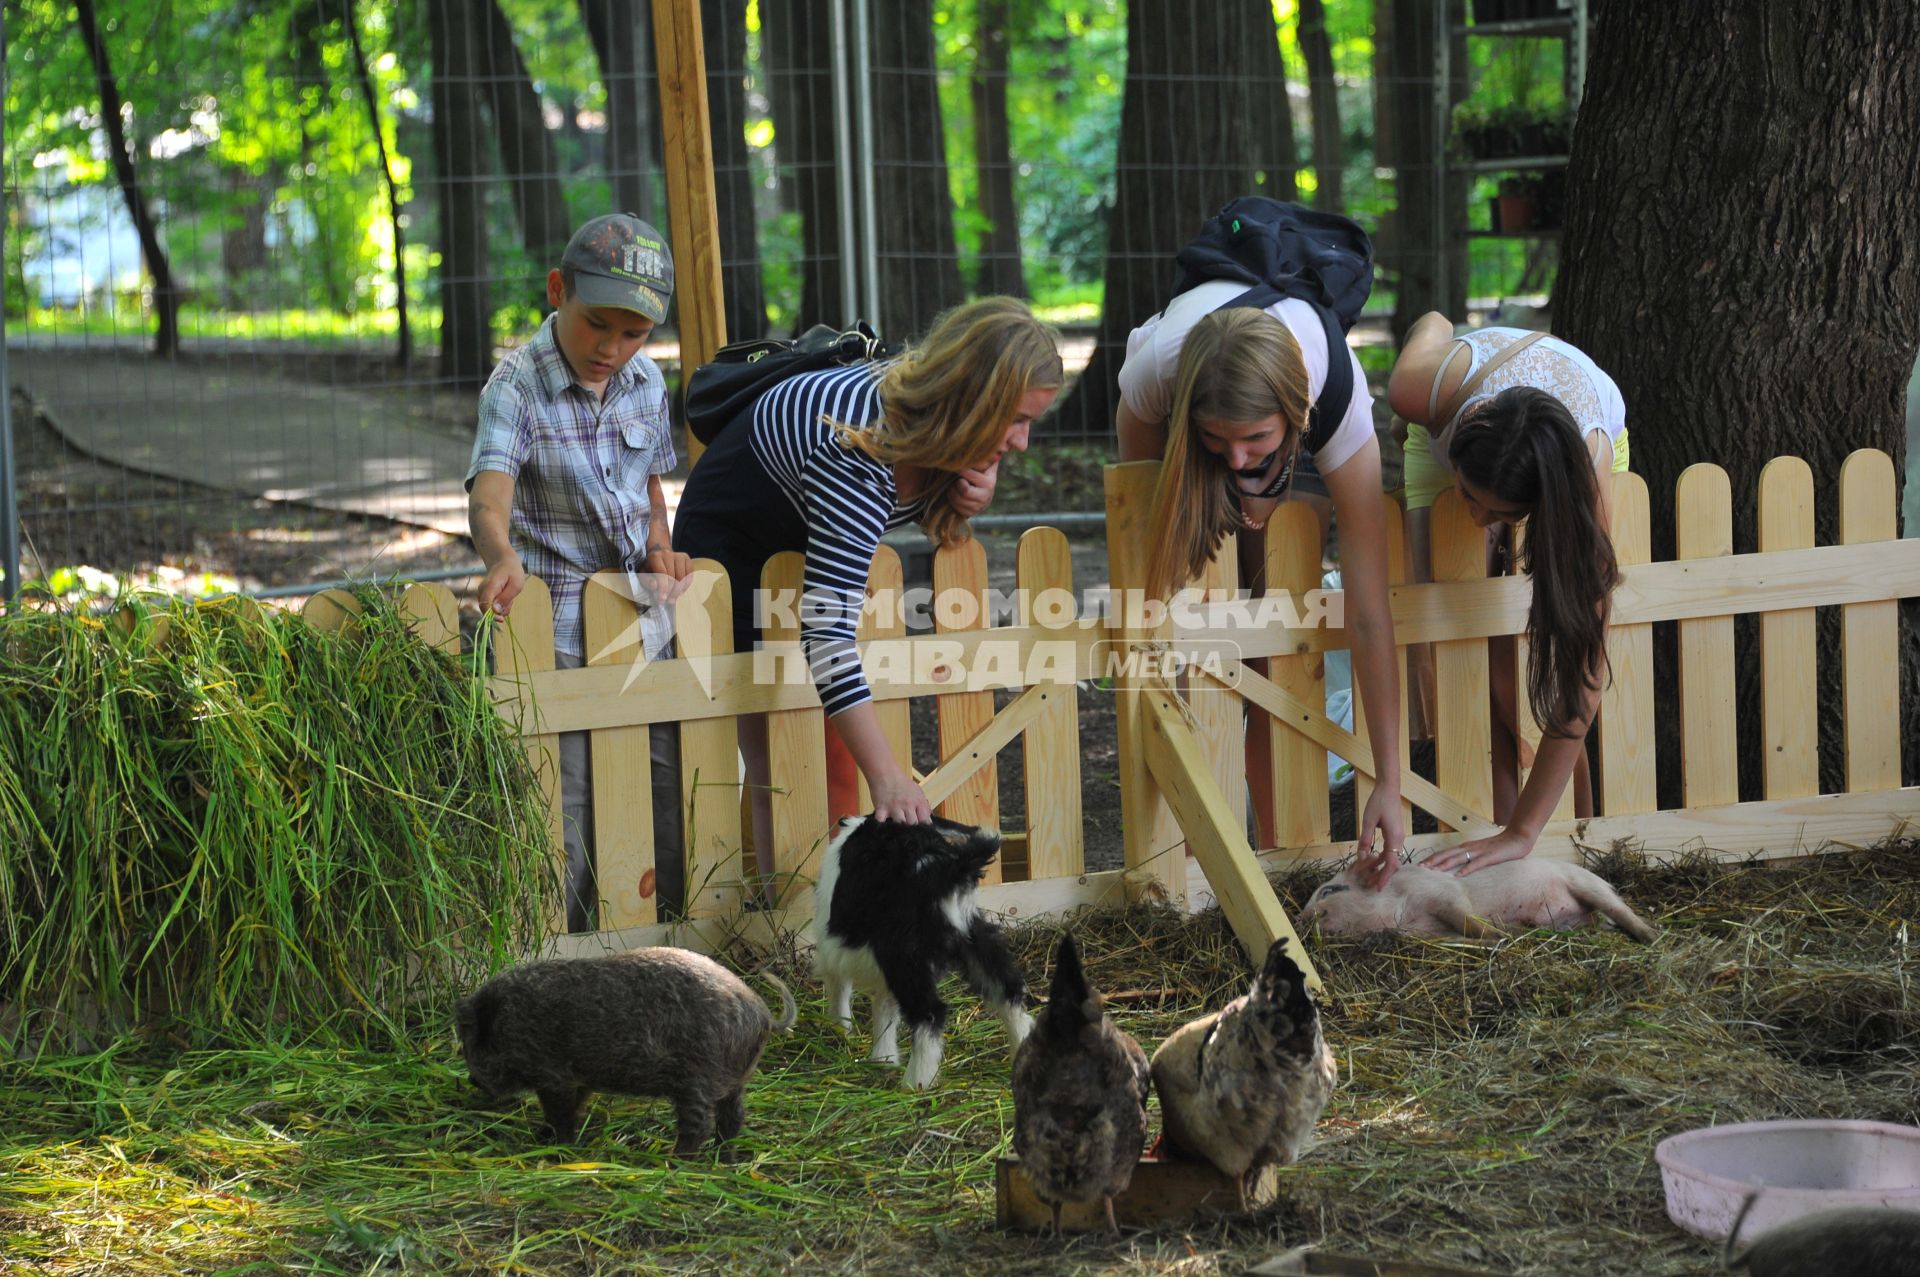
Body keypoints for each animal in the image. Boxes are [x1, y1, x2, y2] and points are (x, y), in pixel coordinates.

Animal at [455, 940, 794, 1152]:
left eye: (469, 1044)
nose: (471, 1080)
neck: (508, 1020)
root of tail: (761, 1012)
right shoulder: (580, 1078)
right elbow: (574, 1106)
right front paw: (544, 1136)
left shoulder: (553, 1074)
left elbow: (560, 1113)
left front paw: (559, 1145)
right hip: (735, 1081)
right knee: (733, 1120)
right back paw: (724, 1159)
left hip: (696, 1077)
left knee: (699, 1127)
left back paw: (674, 1162)